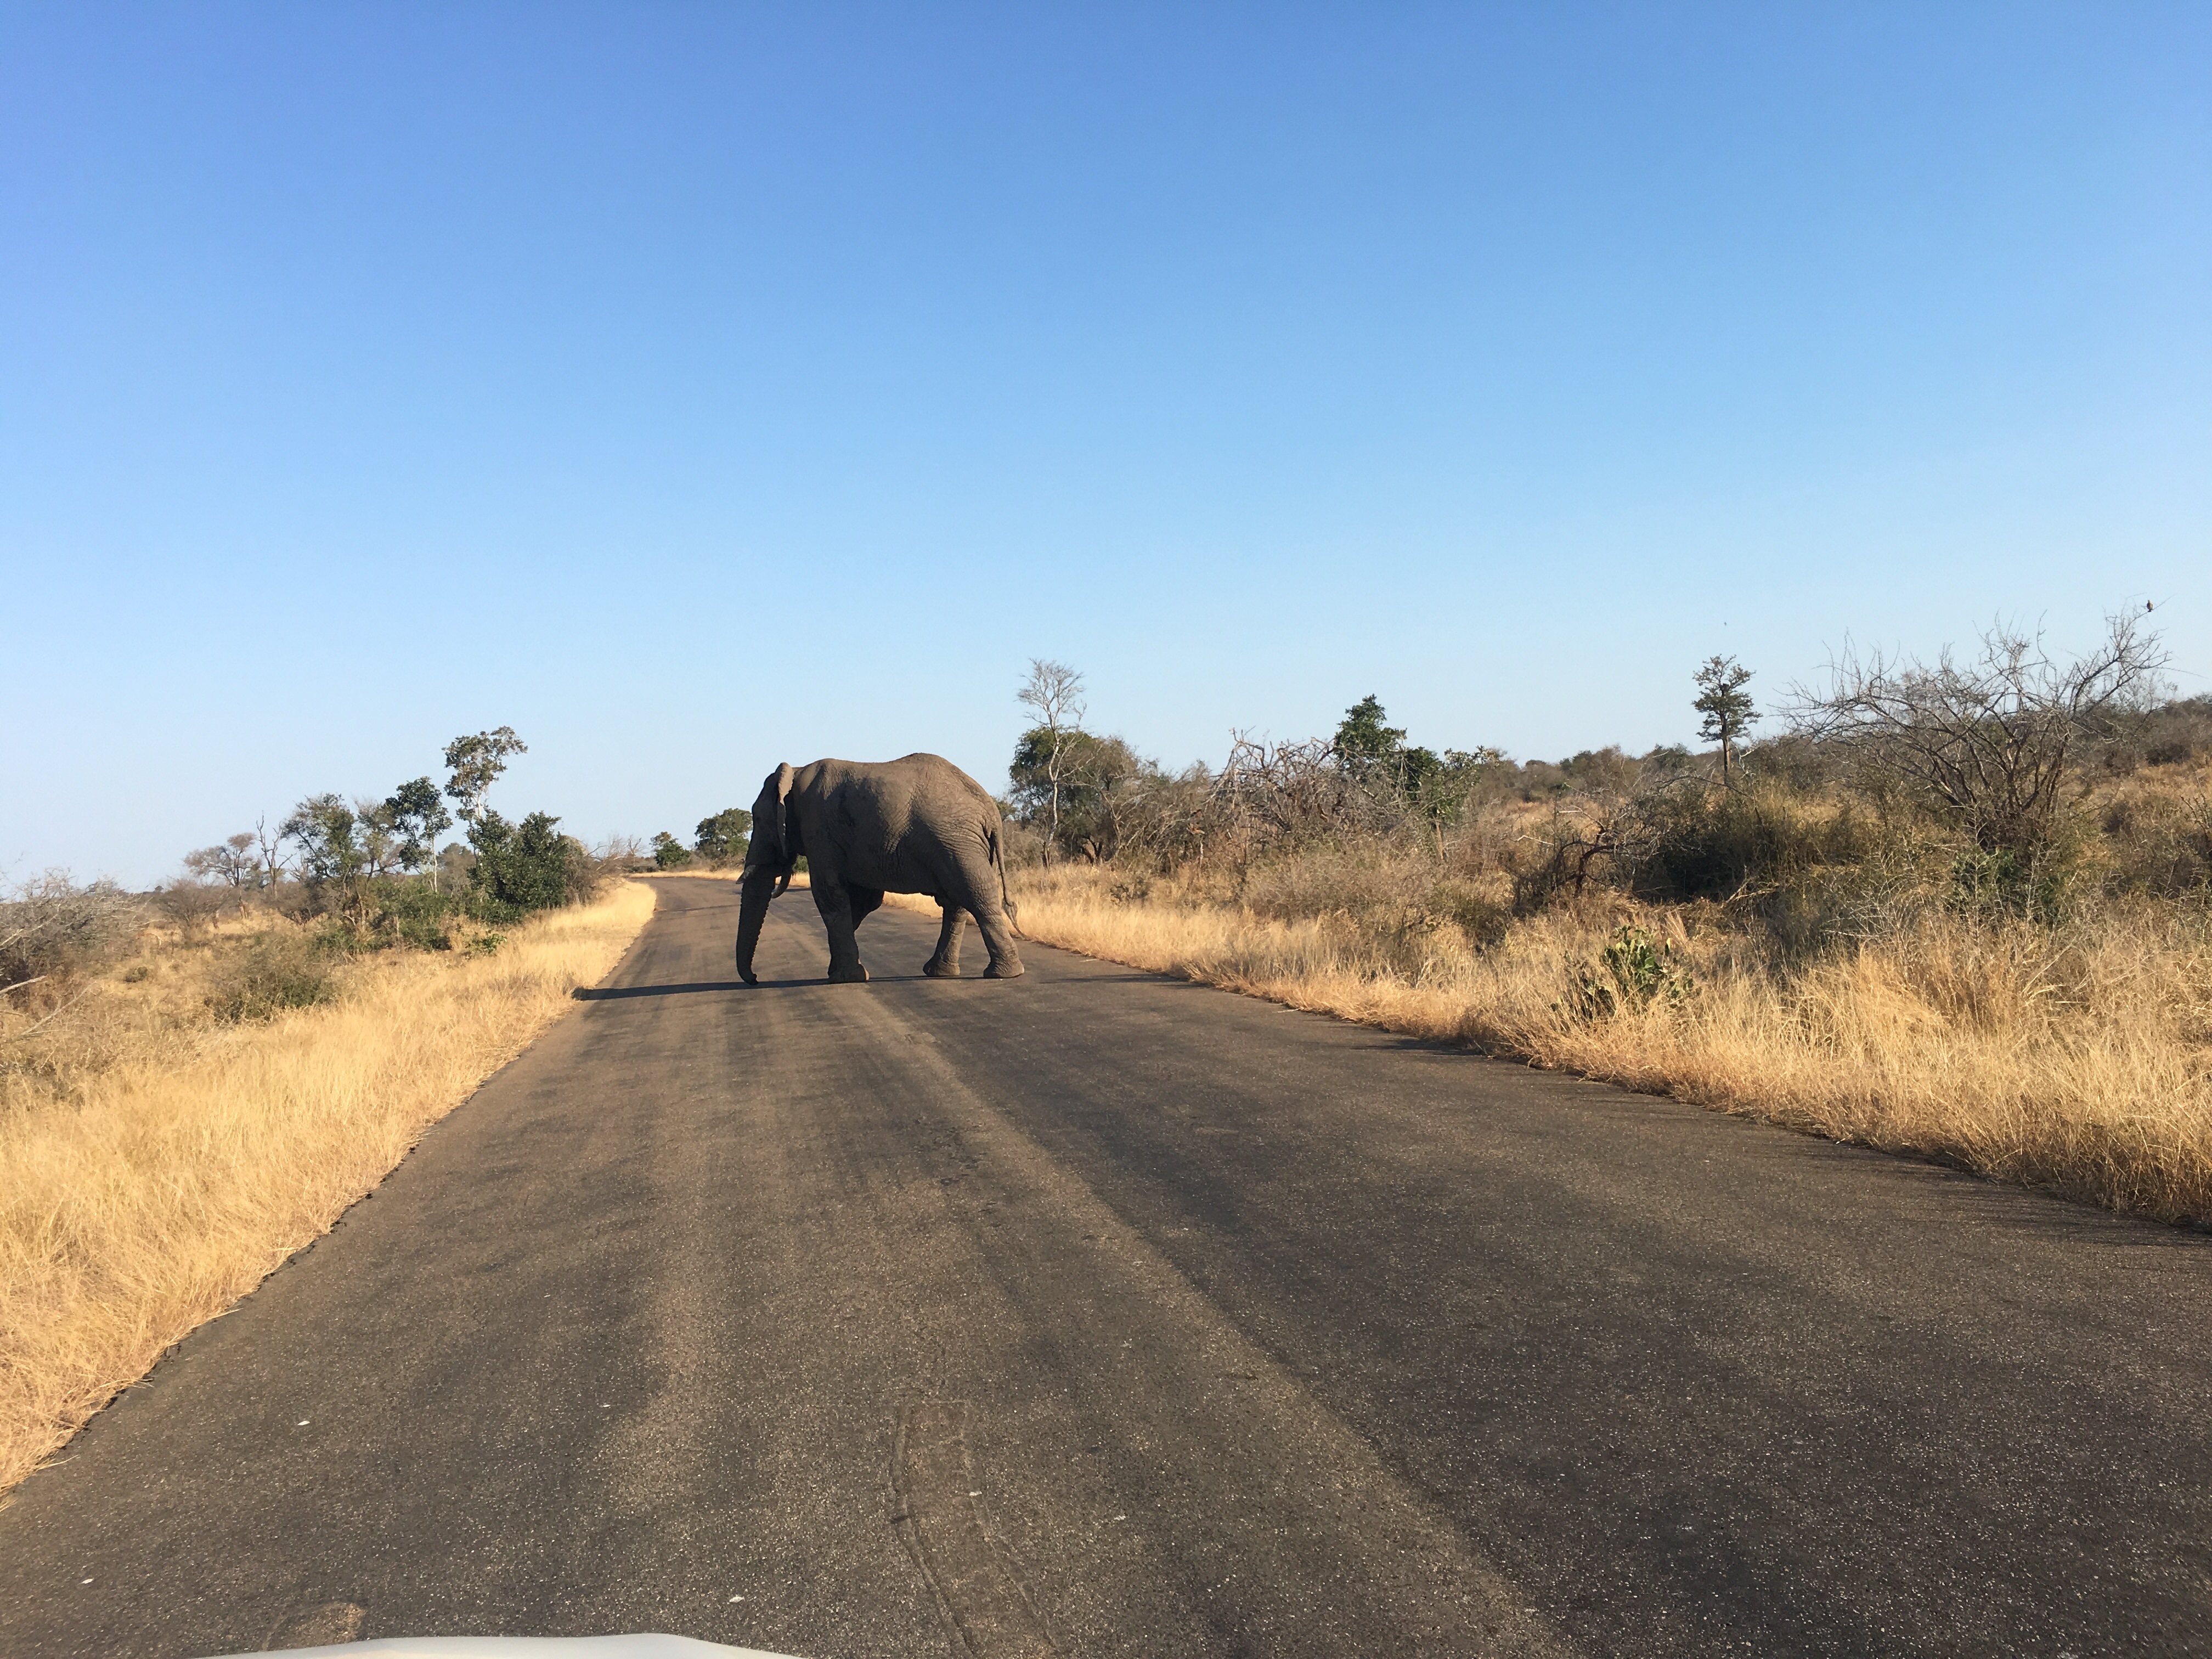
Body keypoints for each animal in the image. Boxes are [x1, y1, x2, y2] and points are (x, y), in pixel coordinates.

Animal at [734, 756, 1026, 986]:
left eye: (758, 819)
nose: (755, 979)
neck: (795, 772)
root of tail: (991, 811)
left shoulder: (819, 829)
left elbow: (830, 895)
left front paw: (844, 978)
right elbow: (861, 902)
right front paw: (837, 972)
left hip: (957, 843)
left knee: (975, 896)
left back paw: (1004, 974)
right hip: (964, 844)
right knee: (957, 903)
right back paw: (943, 973)